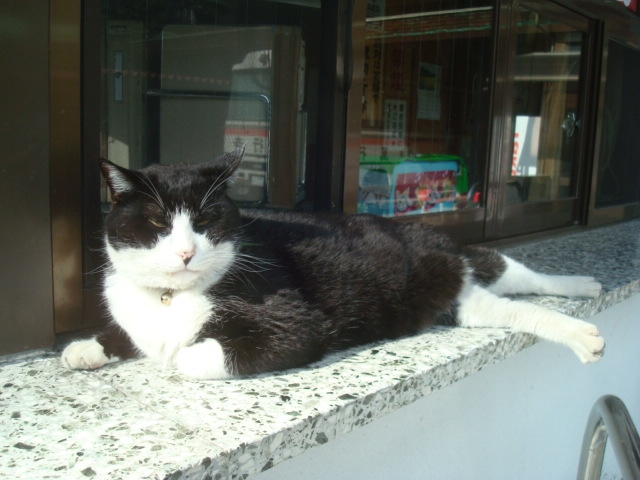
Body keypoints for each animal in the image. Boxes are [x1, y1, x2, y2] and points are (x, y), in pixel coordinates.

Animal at [61, 148, 605, 380]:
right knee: (510, 297)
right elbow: (129, 335)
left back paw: (584, 307)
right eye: (156, 221)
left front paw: (172, 353)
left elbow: (187, 357)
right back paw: (583, 299)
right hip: (459, 299)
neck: (169, 299)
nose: (185, 252)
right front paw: (86, 347)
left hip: (440, 270)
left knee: (516, 274)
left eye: (206, 219)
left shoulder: (294, 323)